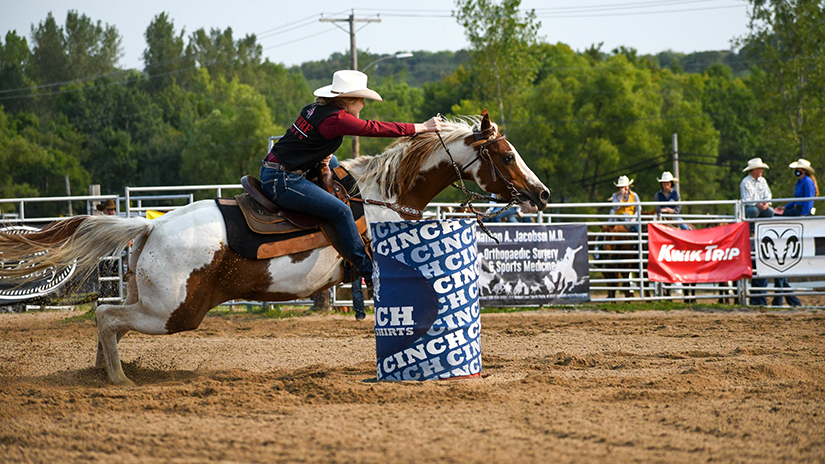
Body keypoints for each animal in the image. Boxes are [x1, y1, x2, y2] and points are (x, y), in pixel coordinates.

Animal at [1, 111, 552, 384]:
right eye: (506, 154)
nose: (542, 194)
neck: (381, 197)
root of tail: (151, 229)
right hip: (175, 310)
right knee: (106, 316)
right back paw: (118, 380)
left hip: (152, 299)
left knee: (108, 315)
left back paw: (101, 373)